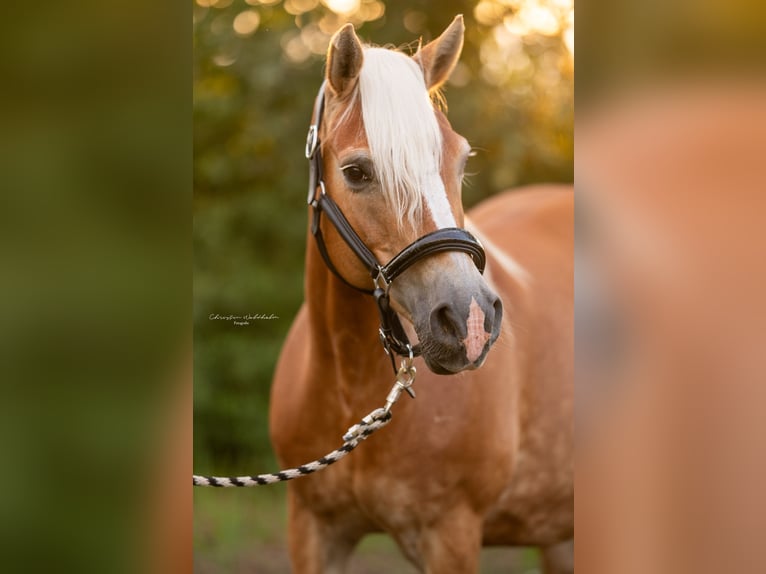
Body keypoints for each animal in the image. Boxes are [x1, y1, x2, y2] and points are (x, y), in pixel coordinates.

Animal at [268, 15, 572, 572]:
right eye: (356, 172)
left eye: (461, 159)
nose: (471, 319)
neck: (350, 388)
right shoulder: (314, 530)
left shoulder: (449, 534)